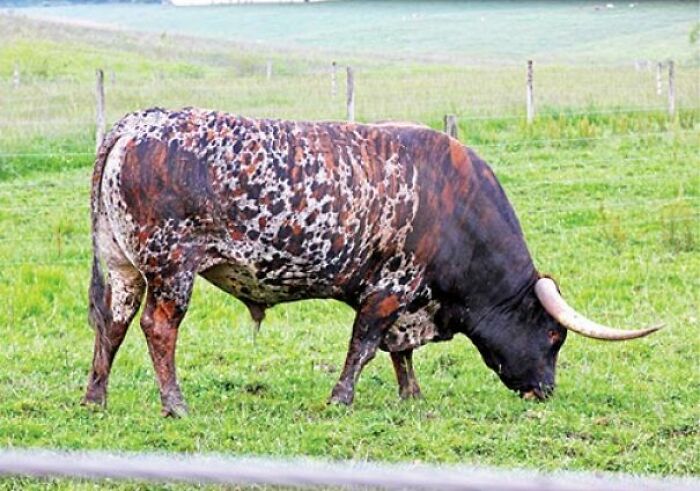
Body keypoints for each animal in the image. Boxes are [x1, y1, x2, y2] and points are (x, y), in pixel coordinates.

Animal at [83, 107, 661, 417]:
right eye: (553, 337)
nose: (545, 391)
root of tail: (137, 123)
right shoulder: (389, 288)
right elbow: (364, 346)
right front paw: (341, 399)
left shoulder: (405, 298)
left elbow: (397, 352)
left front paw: (411, 394)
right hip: (172, 268)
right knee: (158, 328)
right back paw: (174, 403)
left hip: (124, 266)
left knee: (112, 324)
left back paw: (96, 397)